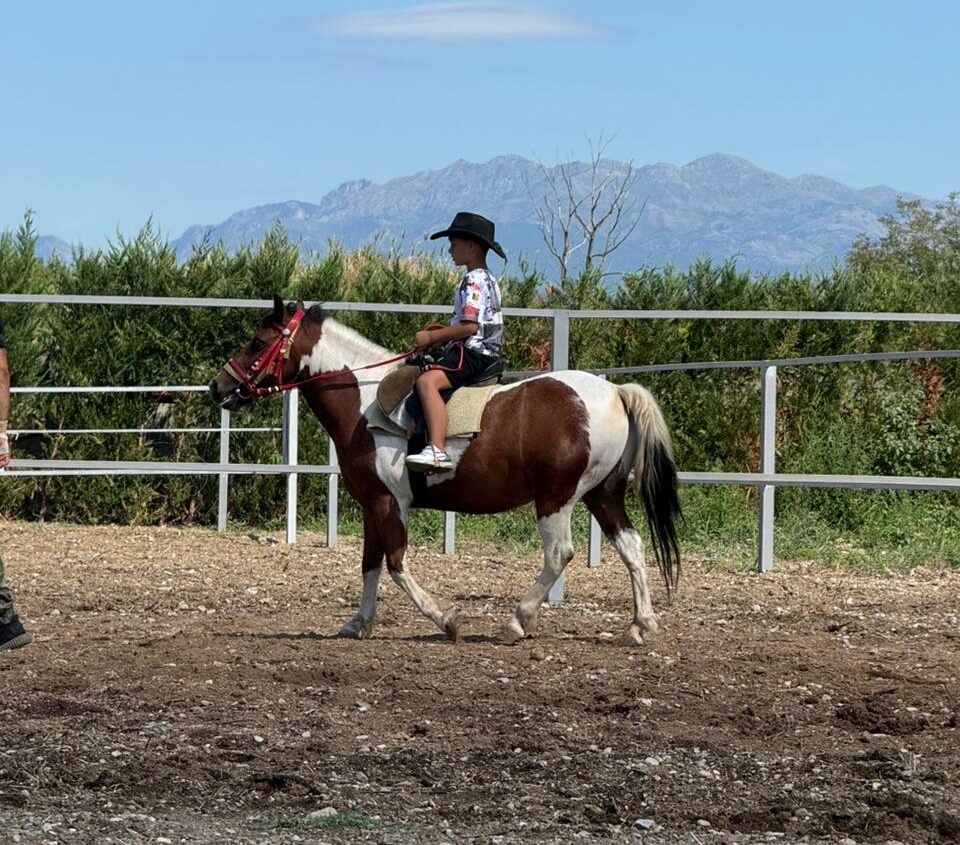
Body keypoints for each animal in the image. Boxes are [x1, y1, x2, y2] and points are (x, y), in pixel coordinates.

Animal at [209, 296, 681, 645]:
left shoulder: (389, 501)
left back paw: (518, 621)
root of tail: (616, 391)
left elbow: (396, 563)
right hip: (603, 494)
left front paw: (446, 619)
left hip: (557, 497)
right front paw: (358, 623)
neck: (364, 403)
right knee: (632, 547)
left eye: (257, 342)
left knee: (559, 553)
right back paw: (641, 625)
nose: (219, 387)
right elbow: (370, 563)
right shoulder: (371, 503)